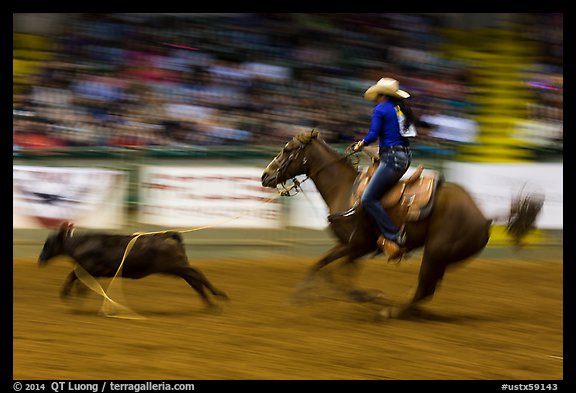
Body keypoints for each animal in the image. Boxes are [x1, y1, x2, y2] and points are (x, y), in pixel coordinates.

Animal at [260, 129, 544, 318]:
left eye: (287, 150)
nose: (265, 176)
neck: (345, 189)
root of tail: (484, 217)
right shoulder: (351, 248)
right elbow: (324, 267)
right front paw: (303, 294)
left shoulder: (357, 245)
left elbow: (334, 273)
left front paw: (370, 296)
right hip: (441, 258)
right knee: (428, 289)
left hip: (435, 252)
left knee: (424, 288)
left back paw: (392, 310)